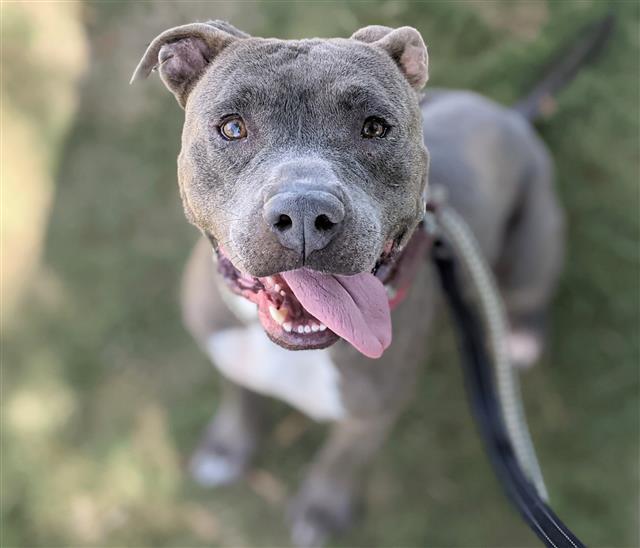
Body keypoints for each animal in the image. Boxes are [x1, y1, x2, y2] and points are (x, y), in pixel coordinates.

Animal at [131, 20, 564, 544]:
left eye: (375, 127)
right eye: (232, 127)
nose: (302, 212)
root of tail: (511, 116)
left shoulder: (370, 417)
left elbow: (340, 462)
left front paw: (320, 510)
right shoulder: (227, 350)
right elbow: (241, 396)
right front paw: (227, 447)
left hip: (535, 240)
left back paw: (519, 340)